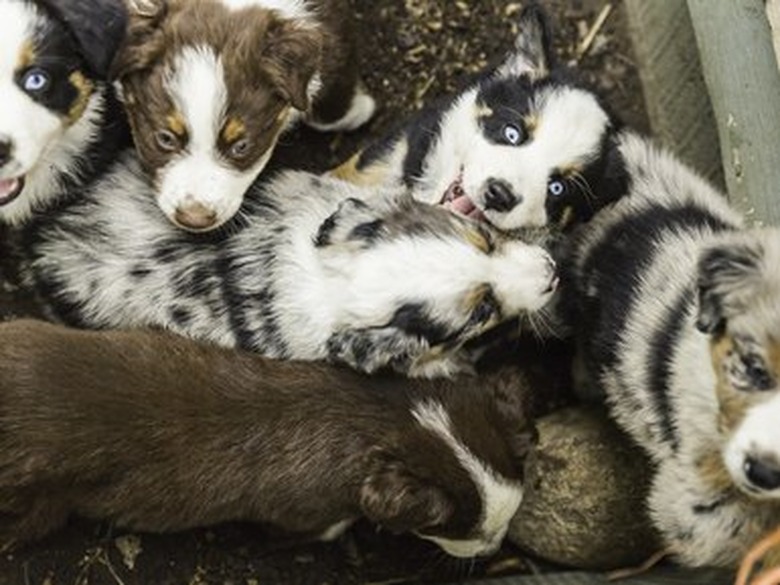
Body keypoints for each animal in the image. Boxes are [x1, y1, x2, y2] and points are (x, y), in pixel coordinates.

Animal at [111, 0, 376, 232]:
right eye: (165, 138)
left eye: (242, 146)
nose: (195, 219)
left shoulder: (334, 31)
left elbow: (331, 102)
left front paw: (362, 111)